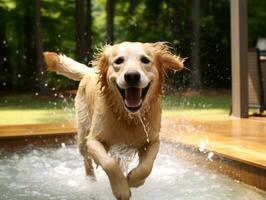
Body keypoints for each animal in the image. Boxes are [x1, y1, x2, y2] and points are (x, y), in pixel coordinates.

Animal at [43, 41, 183, 199]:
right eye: (118, 61)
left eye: (145, 60)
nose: (132, 76)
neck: (128, 117)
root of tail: (90, 71)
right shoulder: (93, 140)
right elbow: (109, 163)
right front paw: (121, 190)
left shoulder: (152, 141)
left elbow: (146, 166)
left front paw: (134, 180)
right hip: (83, 136)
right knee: (87, 160)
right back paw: (91, 181)